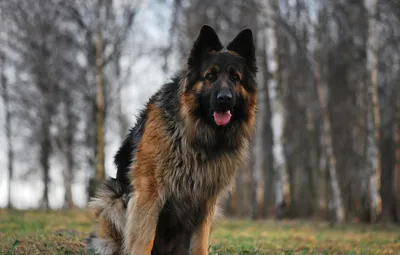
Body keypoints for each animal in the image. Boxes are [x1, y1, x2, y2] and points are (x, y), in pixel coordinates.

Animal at [86, 24, 258, 255]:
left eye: (235, 77)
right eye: (210, 76)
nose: (224, 99)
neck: (199, 136)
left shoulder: (206, 200)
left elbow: (199, 243)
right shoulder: (149, 192)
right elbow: (143, 239)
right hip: (114, 197)